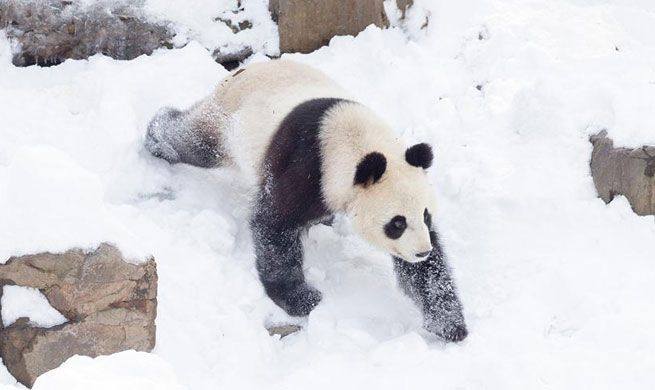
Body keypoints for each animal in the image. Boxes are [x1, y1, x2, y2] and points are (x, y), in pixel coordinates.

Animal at [146, 60, 468, 342]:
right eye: (397, 223)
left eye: (425, 215)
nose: (421, 251)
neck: (355, 144)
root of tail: (242, 69)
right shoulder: (308, 165)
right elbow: (274, 224)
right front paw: (302, 298)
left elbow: (426, 274)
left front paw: (449, 323)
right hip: (227, 121)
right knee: (195, 143)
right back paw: (158, 136)